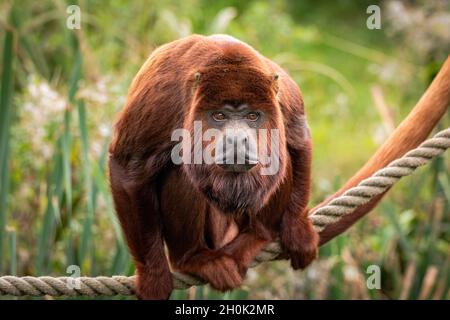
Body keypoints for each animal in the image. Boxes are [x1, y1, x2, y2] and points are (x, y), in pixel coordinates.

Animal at [110, 35, 450, 300]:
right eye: (219, 116)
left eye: (252, 116)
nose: (237, 139)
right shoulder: (161, 99)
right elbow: (129, 169)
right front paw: (153, 275)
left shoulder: (283, 94)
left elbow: (298, 141)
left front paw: (297, 230)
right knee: (180, 169)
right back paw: (193, 259)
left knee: (281, 154)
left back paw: (259, 235)